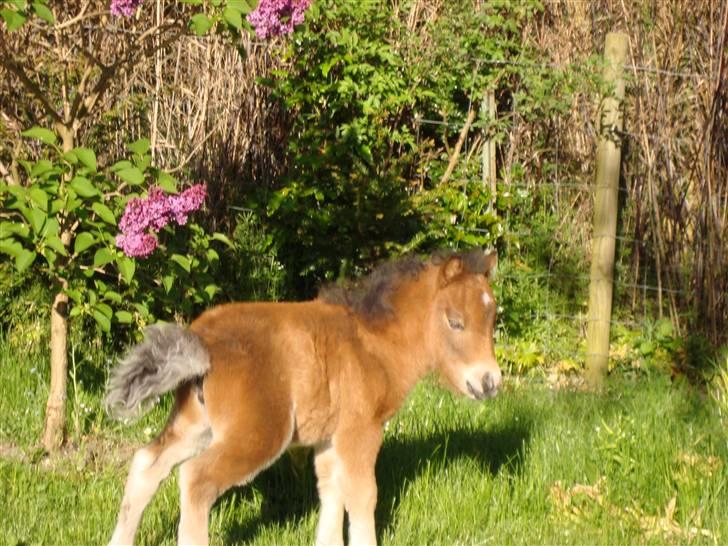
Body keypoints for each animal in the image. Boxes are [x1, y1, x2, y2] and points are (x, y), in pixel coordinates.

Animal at [105, 248, 500, 544]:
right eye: (455, 321)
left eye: (492, 318)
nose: (490, 382)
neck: (374, 343)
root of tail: (203, 342)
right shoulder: (362, 430)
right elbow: (362, 495)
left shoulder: (329, 437)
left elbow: (331, 489)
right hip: (259, 433)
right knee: (195, 479)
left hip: (196, 424)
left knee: (147, 464)